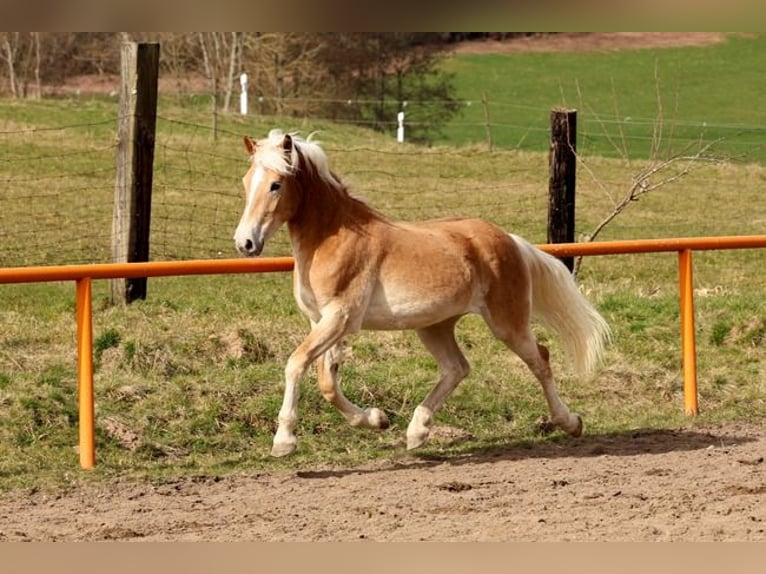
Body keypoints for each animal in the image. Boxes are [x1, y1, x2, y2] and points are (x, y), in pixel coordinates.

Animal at [234, 129, 611, 457]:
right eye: (246, 182)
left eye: (276, 184)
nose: (245, 243)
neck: (332, 237)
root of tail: (510, 240)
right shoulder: (320, 321)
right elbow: (327, 382)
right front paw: (377, 419)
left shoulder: (340, 318)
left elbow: (296, 363)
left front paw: (284, 441)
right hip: (435, 325)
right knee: (457, 368)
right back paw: (417, 432)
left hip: (508, 322)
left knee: (540, 360)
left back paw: (571, 423)